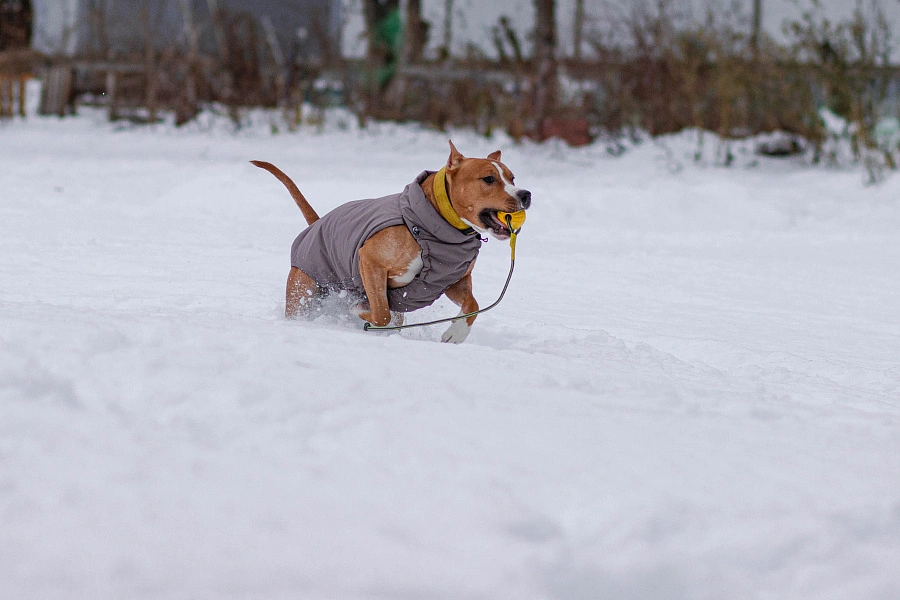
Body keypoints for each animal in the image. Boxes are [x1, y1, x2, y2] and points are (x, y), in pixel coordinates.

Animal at [251, 139, 528, 342]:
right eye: (488, 179)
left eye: (512, 178)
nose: (526, 194)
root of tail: (315, 224)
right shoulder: (371, 262)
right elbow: (381, 314)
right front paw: (358, 310)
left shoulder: (452, 280)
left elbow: (472, 303)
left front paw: (456, 333)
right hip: (303, 290)